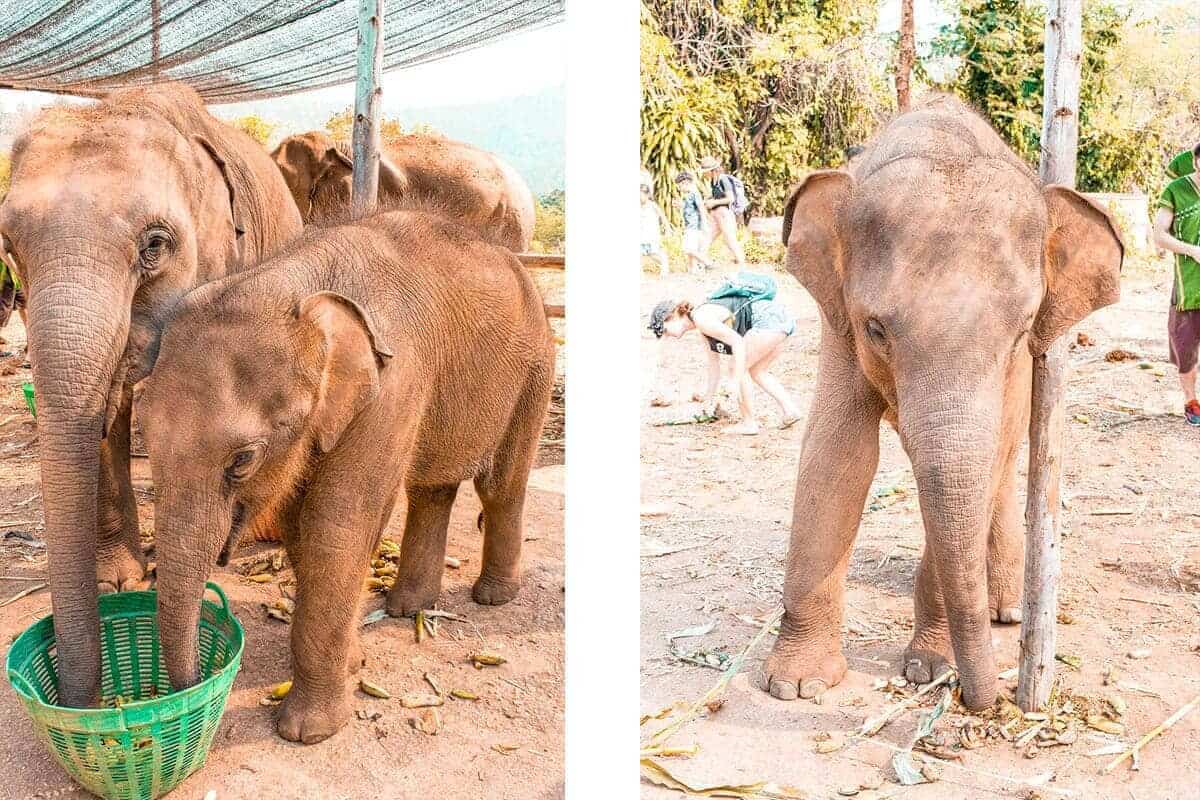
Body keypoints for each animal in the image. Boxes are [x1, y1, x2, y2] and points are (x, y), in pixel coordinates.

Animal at [136, 208, 555, 743]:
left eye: (242, 460)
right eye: (145, 439)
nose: (192, 691)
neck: (296, 284)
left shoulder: (394, 385)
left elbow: (336, 526)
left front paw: (306, 732)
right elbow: (299, 526)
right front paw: (353, 662)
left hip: (535, 372)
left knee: (500, 486)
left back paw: (493, 597)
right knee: (431, 489)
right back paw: (406, 608)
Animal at [758, 95, 1123, 711]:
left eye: (1022, 329)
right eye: (875, 329)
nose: (987, 701)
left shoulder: (1018, 367)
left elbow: (986, 457)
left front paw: (929, 669)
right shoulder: (840, 327)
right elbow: (838, 455)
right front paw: (796, 685)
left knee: (1004, 467)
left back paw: (1009, 610)